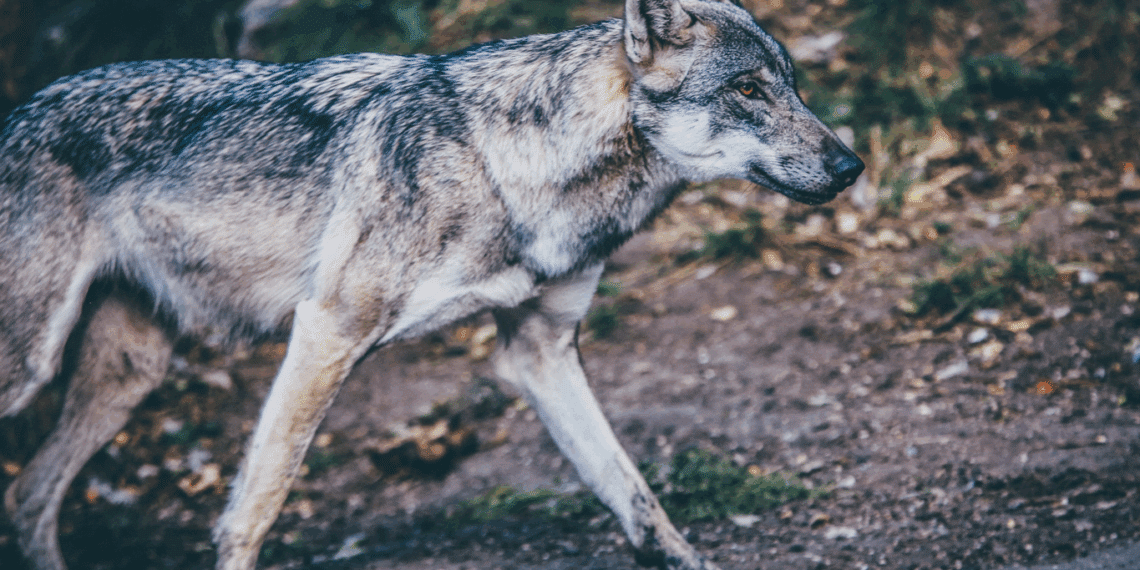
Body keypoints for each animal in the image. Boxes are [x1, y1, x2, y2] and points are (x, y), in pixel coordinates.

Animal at [0, 0, 863, 568]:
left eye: (792, 84)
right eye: (747, 89)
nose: (852, 165)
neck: (506, 165)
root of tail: (20, 110)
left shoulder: (541, 352)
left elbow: (639, 501)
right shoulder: (326, 331)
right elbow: (256, 506)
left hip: (129, 376)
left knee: (30, 497)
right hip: (33, 365)